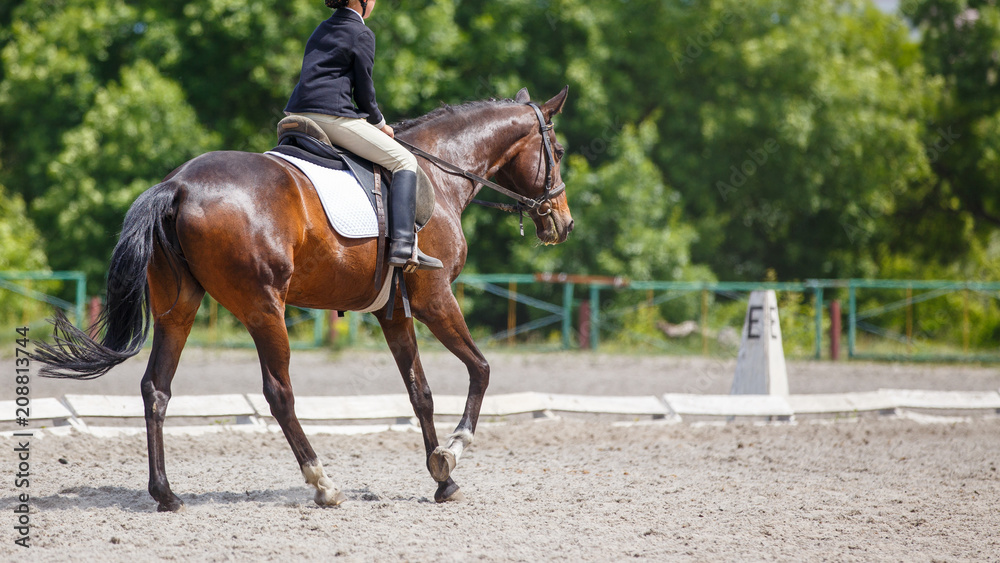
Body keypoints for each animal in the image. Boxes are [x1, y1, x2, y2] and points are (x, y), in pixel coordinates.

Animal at [33, 86, 573, 511]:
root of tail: (178, 185)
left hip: (179, 309)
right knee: (279, 393)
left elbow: (420, 392)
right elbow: (481, 369)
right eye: (559, 150)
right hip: (264, 307)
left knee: (156, 389)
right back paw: (323, 484)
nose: (563, 224)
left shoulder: (394, 312)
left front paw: (443, 481)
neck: (439, 175)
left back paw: (165, 494)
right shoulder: (434, 299)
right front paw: (452, 453)